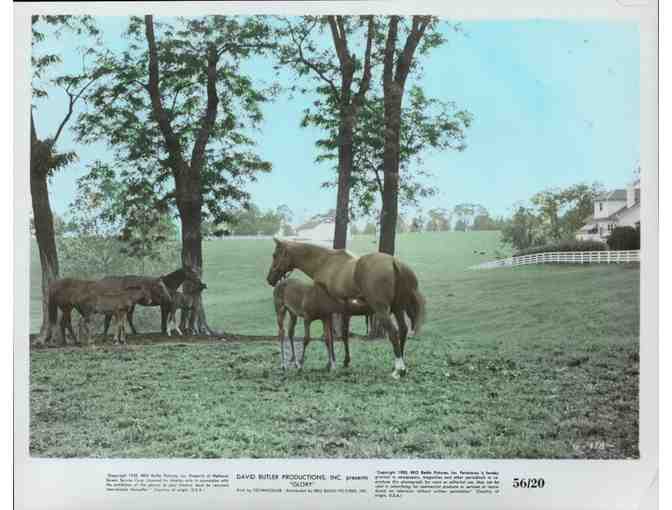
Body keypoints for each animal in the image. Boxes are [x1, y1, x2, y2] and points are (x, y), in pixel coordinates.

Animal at [266, 239, 426, 378]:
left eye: (275, 255)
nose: (269, 279)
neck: (325, 263)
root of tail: (394, 262)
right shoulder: (341, 312)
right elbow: (340, 335)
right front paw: (340, 362)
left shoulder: (331, 312)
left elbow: (332, 337)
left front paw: (332, 363)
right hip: (398, 309)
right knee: (403, 330)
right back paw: (400, 365)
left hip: (382, 310)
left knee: (393, 332)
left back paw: (399, 369)